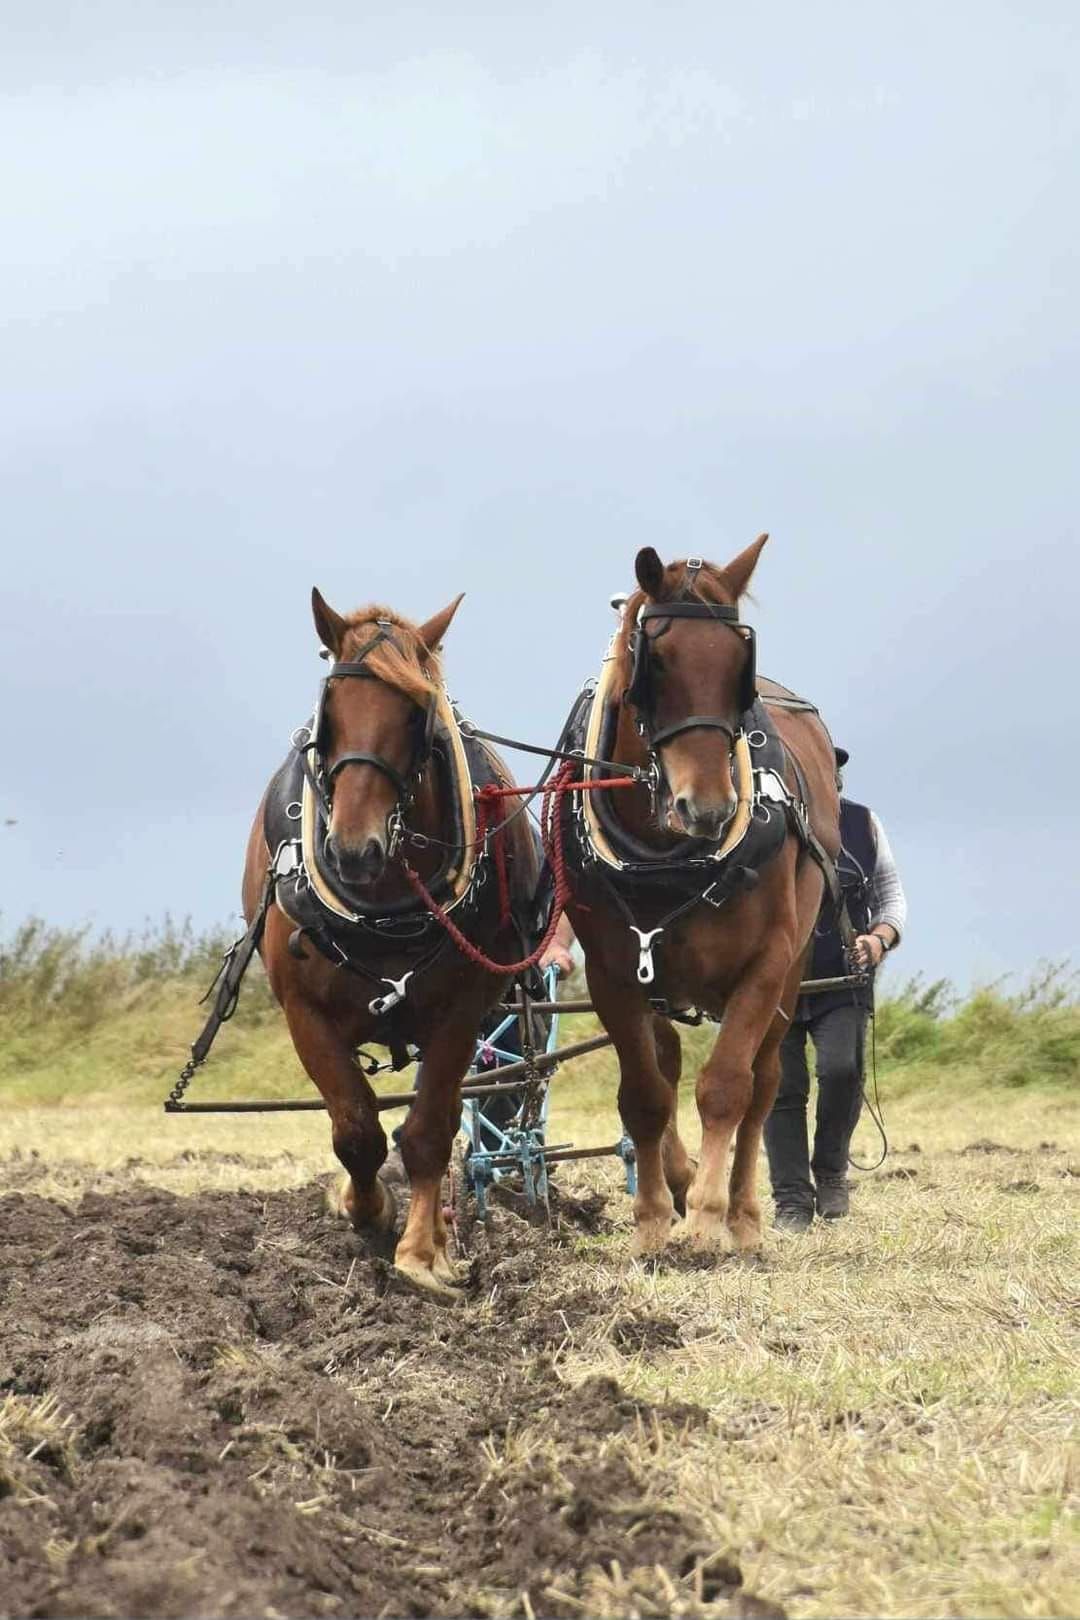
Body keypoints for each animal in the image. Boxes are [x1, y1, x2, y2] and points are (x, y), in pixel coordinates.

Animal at [241, 589, 537, 1296]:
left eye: (416, 713)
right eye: (330, 711)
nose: (354, 848)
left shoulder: (461, 1012)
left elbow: (426, 1131)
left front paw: (421, 1254)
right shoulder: (305, 1013)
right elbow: (356, 1129)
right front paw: (364, 1209)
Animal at [566, 537, 841, 1257]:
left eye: (741, 666)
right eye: (654, 662)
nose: (710, 808)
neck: (671, 859)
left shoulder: (766, 965)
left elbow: (727, 1088)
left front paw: (711, 1221)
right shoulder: (612, 974)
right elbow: (644, 1095)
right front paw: (654, 1221)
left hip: (793, 971)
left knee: (767, 1085)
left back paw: (744, 1215)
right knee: (664, 1065)